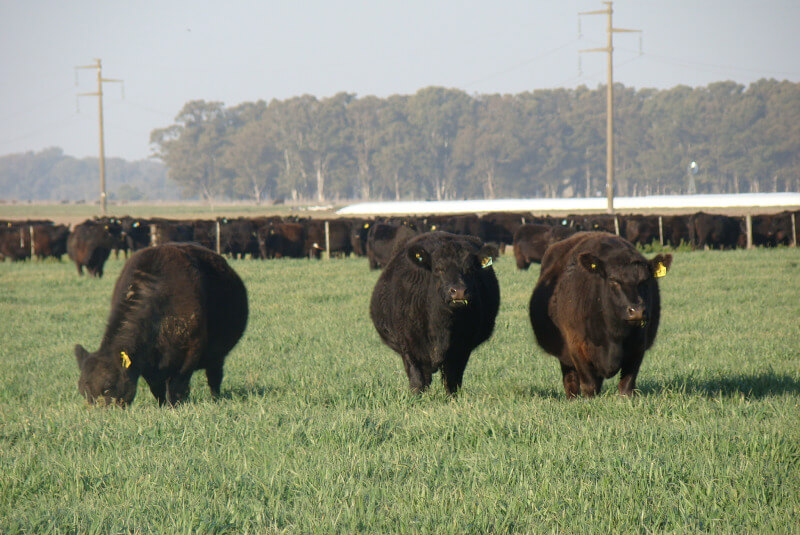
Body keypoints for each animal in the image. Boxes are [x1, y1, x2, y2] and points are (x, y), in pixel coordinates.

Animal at [74, 243, 248, 407]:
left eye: (108, 388)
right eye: (84, 393)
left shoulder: (190, 352)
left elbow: (177, 386)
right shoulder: (147, 363)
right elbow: (157, 388)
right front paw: (162, 405)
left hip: (217, 355)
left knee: (214, 377)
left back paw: (215, 398)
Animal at [370, 232, 500, 394]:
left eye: (470, 269)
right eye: (438, 269)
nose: (459, 291)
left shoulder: (462, 348)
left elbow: (452, 380)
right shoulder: (409, 346)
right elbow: (418, 380)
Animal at [529, 232, 672, 398]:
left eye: (645, 281)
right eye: (613, 280)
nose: (637, 311)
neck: (613, 334)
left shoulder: (638, 345)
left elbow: (627, 384)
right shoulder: (576, 344)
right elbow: (589, 385)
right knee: (570, 380)